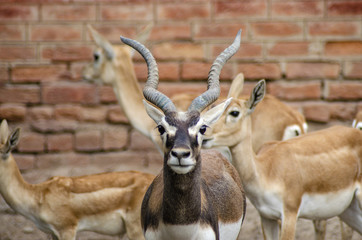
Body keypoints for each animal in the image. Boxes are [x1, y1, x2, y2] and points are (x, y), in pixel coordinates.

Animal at [202, 80, 362, 238]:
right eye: (212, 107)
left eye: (234, 112)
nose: (203, 134)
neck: (264, 170)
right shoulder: (267, 217)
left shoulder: (289, 215)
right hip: (348, 210)